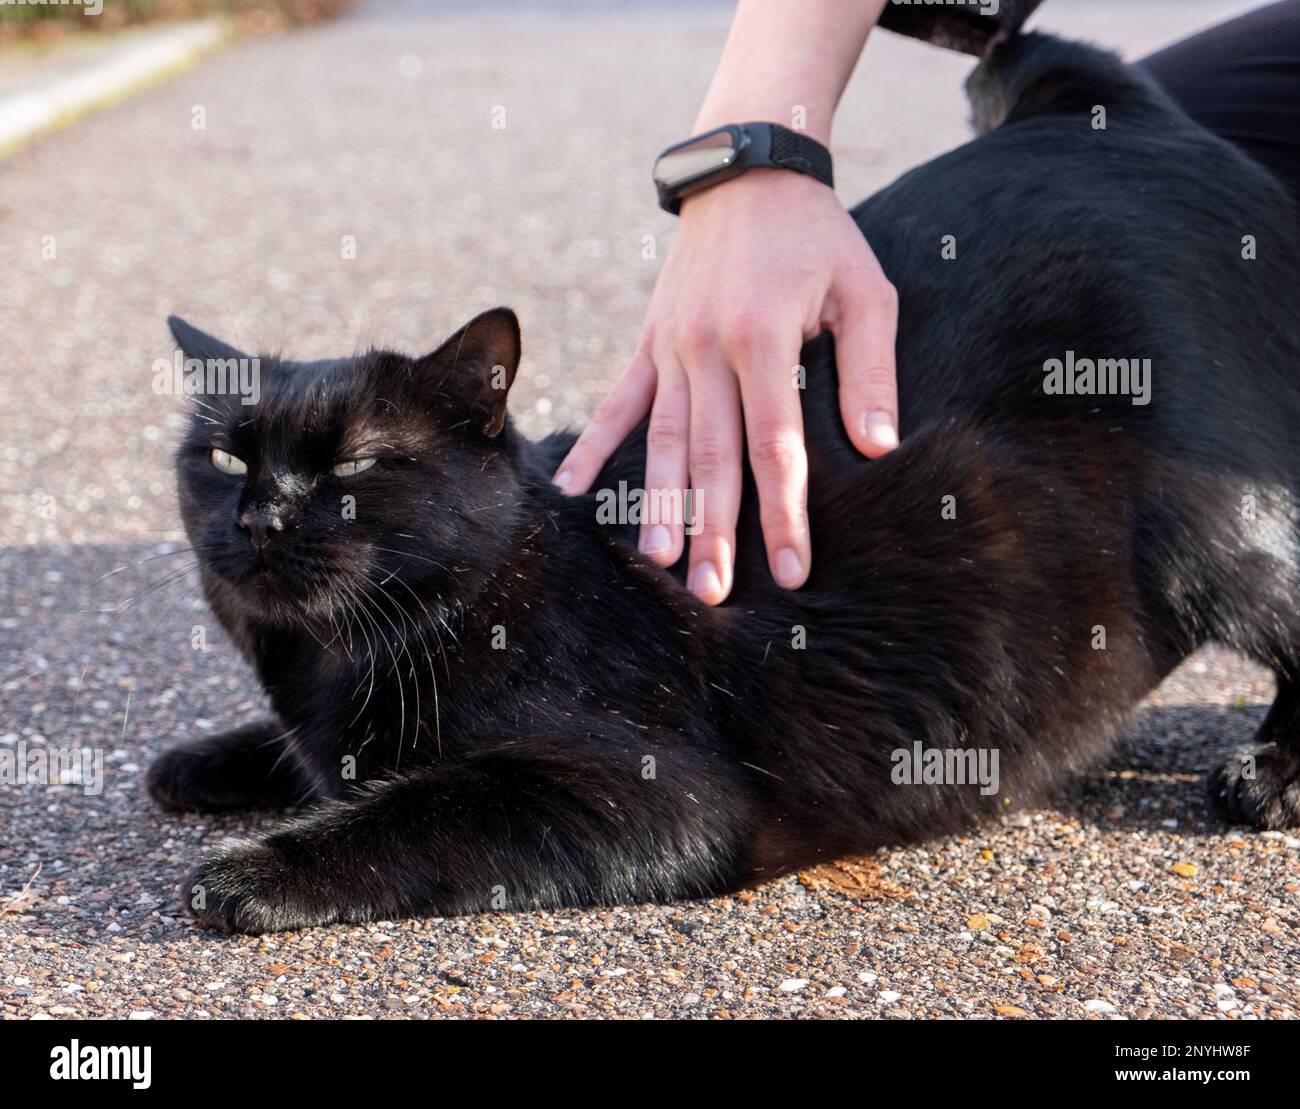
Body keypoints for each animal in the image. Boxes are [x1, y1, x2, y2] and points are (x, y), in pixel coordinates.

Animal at [149, 34, 1300, 930]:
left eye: (353, 462)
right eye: (225, 457)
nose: (260, 513)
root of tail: (1112, 115)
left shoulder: (649, 793)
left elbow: (417, 807)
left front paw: (253, 869)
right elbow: (315, 761)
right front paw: (206, 759)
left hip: (1209, 524)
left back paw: (1271, 773)